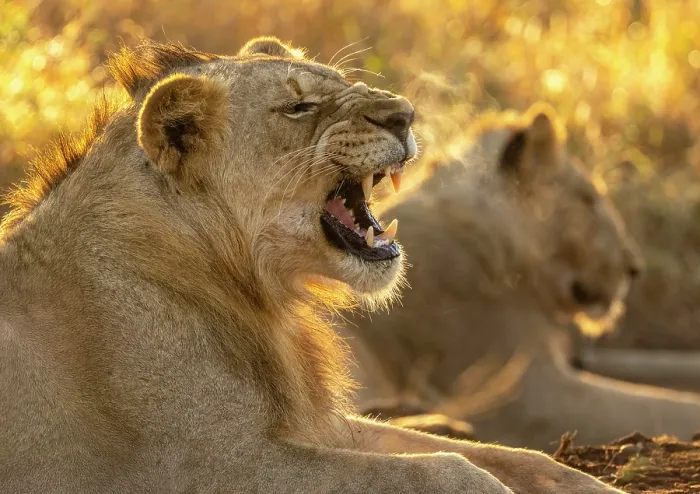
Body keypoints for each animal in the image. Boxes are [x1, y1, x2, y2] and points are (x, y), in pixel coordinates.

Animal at [0, 37, 621, 493]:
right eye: (298, 106)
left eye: (347, 84)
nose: (404, 113)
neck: (253, 292)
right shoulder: (207, 464)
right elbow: (442, 470)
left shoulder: (317, 424)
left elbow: (509, 455)